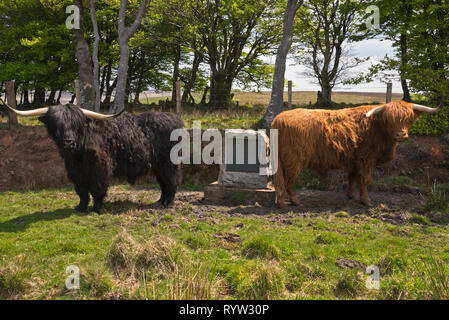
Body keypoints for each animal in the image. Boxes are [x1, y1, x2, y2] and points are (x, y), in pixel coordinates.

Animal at [3, 103, 182, 212]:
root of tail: (175, 118)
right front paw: (80, 207)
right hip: (158, 165)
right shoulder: (75, 171)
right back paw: (160, 201)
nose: (68, 142)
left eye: (76, 124)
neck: (78, 154)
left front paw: (97, 208)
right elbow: (81, 190)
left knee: (171, 181)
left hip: (169, 163)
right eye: (56, 125)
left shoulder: (100, 168)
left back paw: (168, 203)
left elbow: (97, 188)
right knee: (164, 182)